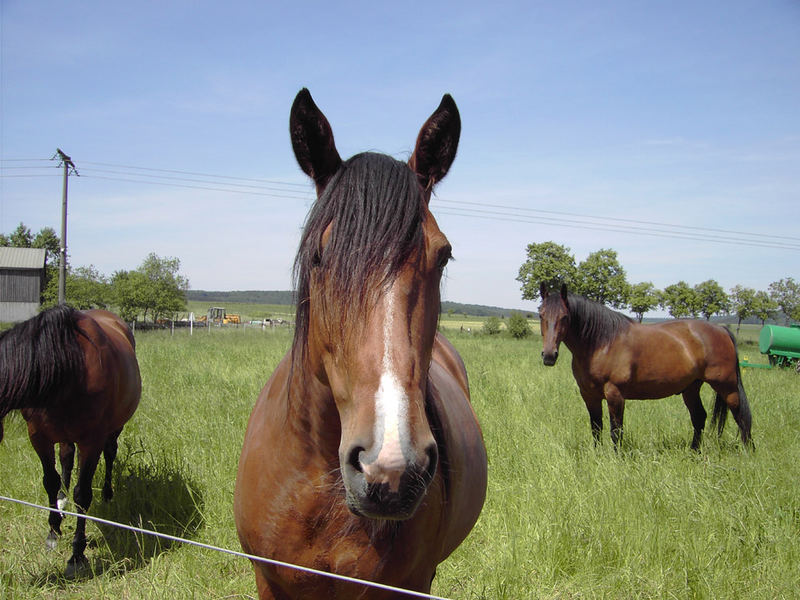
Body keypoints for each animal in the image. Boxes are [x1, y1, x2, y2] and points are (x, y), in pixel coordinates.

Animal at [0, 308, 142, 580]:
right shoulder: (38, 436)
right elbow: (50, 480)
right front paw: (53, 530)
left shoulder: (92, 440)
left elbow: (83, 493)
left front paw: (77, 554)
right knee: (65, 459)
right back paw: (61, 501)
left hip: (113, 429)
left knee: (110, 454)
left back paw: (107, 494)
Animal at [536, 284, 752, 450]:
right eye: (541, 315)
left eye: (564, 317)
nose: (549, 356)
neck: (601, 343)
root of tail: (721, 330)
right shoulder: (589, 395)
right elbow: (596, 428)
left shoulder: (615, 394)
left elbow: (616, 431)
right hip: (691, 388)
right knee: (699, 417)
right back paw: (694, 451)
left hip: (727, 386)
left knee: (741, 417)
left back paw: (747, 453)